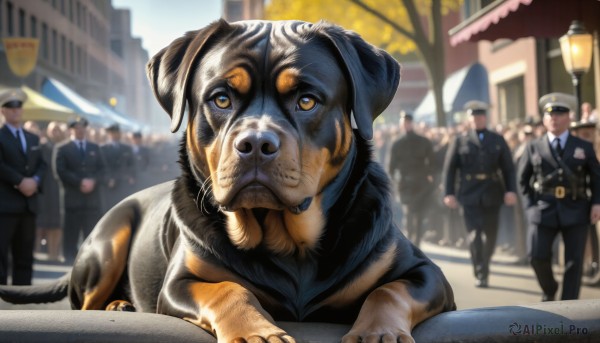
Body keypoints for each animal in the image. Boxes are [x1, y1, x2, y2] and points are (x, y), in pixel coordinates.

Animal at [0, 20, 454, 342]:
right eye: (221, 98)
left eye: (307, 100)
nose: (255, 143)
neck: (287, 244)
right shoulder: (182, 282)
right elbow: (227, 289)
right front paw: (258, 332)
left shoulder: (425, 273)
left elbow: (388, 290)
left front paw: (377, 332)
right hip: (108, 241)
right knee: (84, 305)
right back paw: (116, 306)